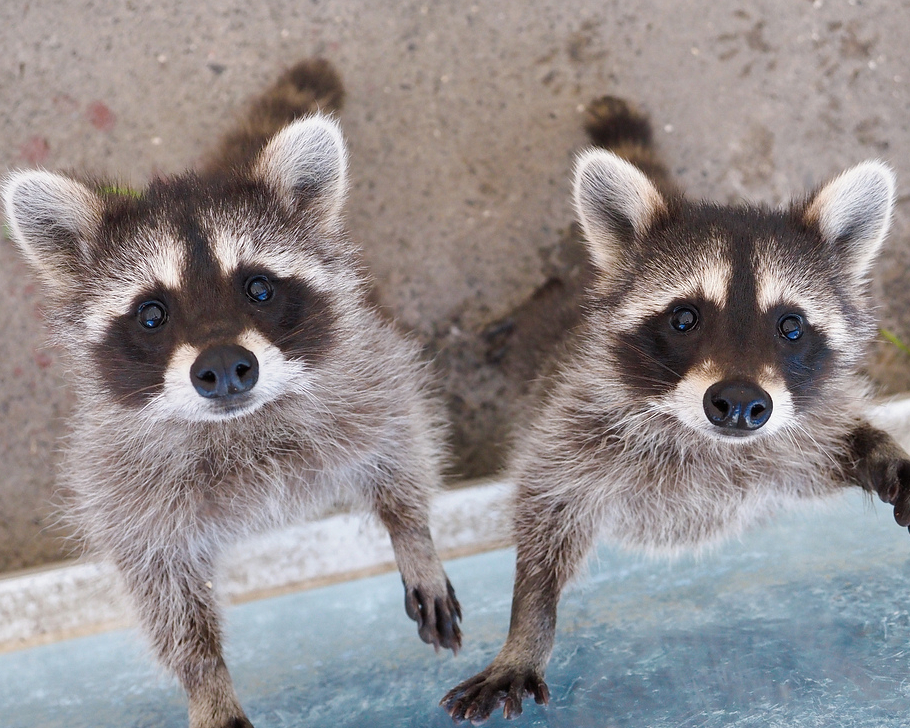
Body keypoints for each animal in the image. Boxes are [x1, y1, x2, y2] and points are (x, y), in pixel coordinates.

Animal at [1, 59, 464, 724]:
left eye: (259, 288)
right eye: (151, 313)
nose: (223, 367)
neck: (238, 426)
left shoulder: (365, 373)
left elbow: (398, 438)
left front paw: (412, 532)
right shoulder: (121, 486)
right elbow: (160, 588)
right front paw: (205, 678)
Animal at [442, 96, 904, 724]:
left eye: (790, 325)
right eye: (684, 318)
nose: (739, 404)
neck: (702, 438)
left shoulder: (792, 437)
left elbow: (831, 445)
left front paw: (880, 450)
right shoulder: (568, 420)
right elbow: (545, 512)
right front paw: (528, 626)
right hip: (544, 336)